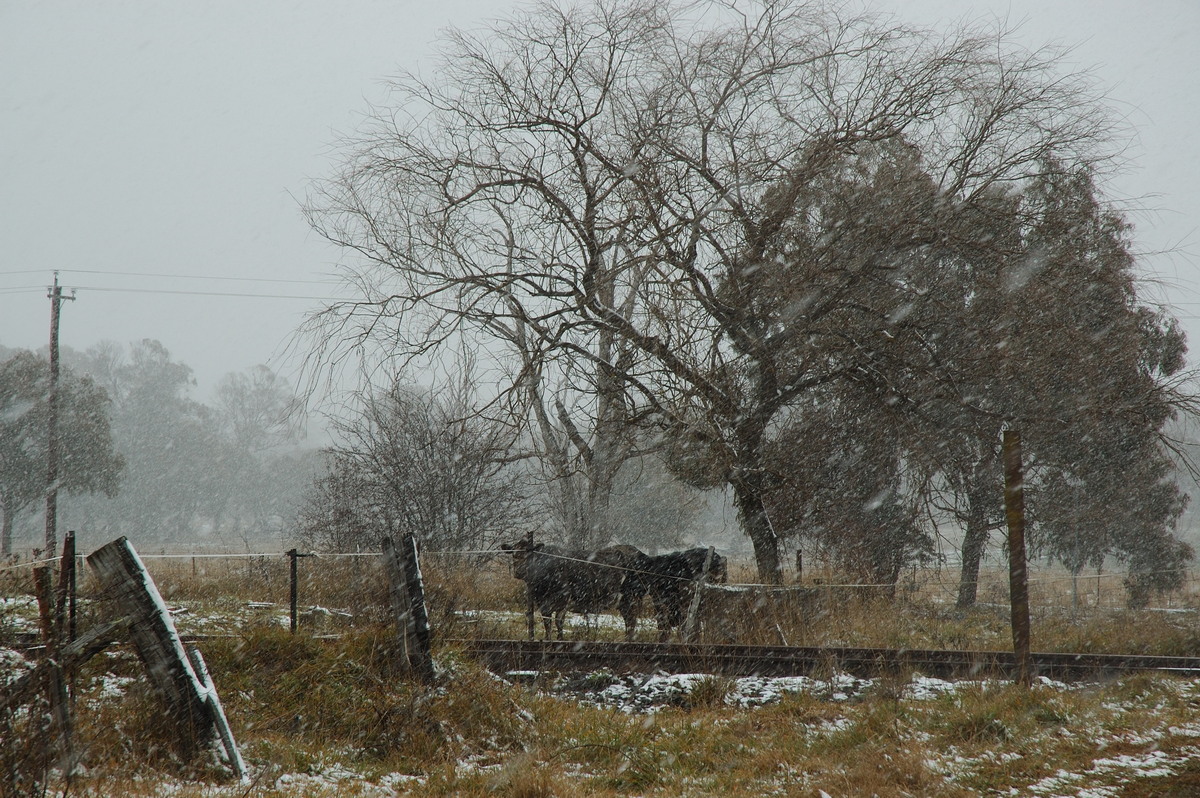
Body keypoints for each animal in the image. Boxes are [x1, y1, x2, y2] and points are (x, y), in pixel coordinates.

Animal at [499, 535, 648, 643]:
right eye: (513, 554)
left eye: (529, 554)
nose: (519, 572)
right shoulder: (542, 600)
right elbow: (548, 620)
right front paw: (549, 638)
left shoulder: (563, 596)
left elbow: (557, 620)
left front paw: (558, 639)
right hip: (623, 601)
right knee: (628, 620)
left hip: (630, 597)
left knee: (631, 620)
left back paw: (628, 641)